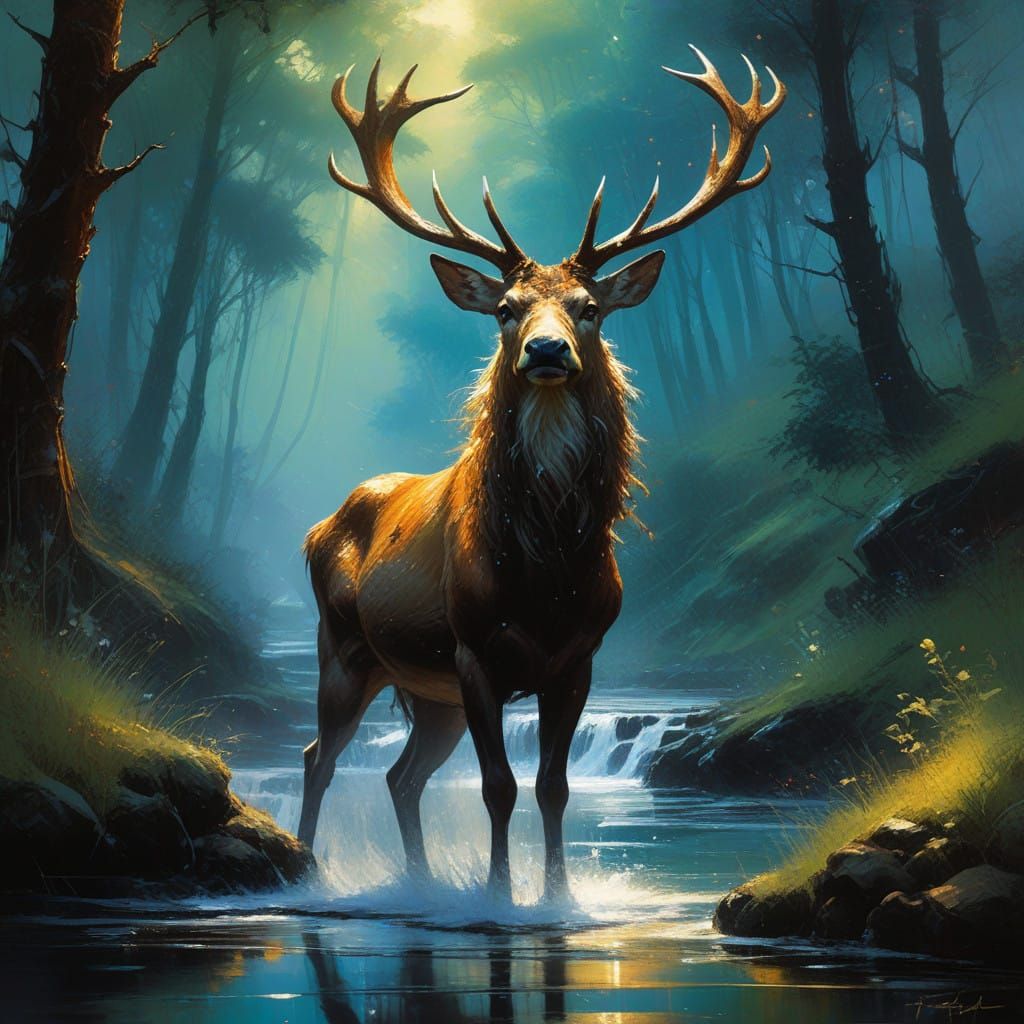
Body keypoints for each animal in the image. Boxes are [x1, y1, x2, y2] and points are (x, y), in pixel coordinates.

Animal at [298, 49, 785, 902]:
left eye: (590, 307)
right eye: (507, 308)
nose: (548, 351)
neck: (547, 573)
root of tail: (318, 527)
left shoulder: (579, 658)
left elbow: (553, 786)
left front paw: (557, 897)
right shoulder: (473, 651)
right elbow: (498, 786)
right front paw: (500, 896)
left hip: (426, 694)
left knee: (398, 776)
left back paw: (420, 881)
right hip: (345, 649)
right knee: (318, 758)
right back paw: (308, 872)